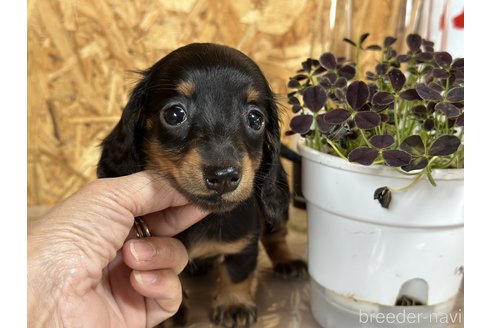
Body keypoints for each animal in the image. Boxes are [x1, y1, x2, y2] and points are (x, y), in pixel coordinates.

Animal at [97, 43, 308, 326]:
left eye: (256, 119)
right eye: (174, 114)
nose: (223, 176)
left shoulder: (244, 242)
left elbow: (238, 271)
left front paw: (234, 304)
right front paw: (171, 314)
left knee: (276, 235)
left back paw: (287, 260)